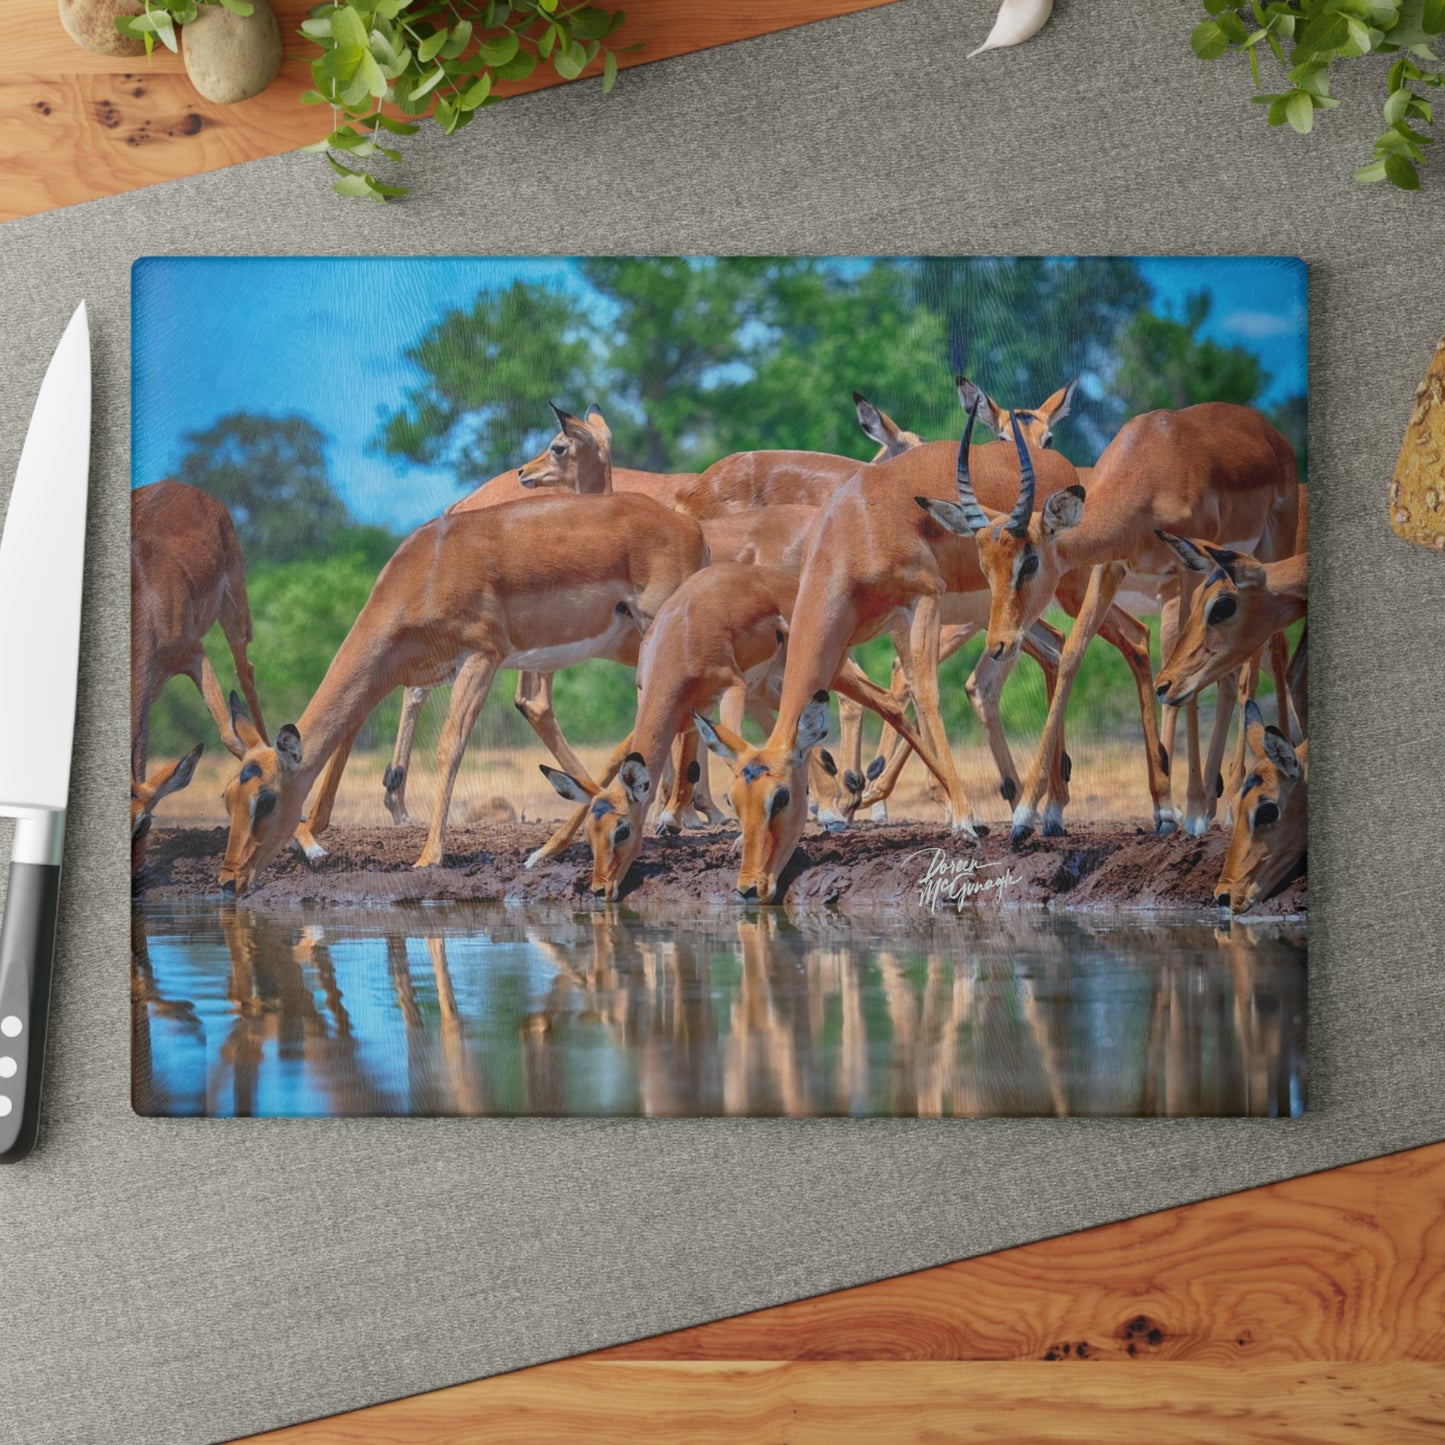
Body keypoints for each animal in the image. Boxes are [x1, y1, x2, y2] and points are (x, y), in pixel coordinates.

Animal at [216, 491, 708, 895]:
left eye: (265, 799)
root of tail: (693, 531)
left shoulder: (482, 657)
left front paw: (427, 856)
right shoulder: (409, 674)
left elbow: (450, 745)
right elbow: (345, 742)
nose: (227, 880)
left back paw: (662, 820)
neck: (426, 569)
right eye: (228, 797)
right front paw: (311, 840)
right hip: (629, 644)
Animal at [534, 563, 953, 900]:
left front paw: (732, 837)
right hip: (768, 689)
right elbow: (617, 759)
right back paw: (835, 810)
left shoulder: (730, 689)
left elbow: (733, 757)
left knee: (889, 702)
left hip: (820, 674)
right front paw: (544, 851)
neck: (679, 638)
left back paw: (949, 809)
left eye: (621, 831)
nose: (600, 889)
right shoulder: (679, 709)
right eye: (592, 833)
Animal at [920, 402, 1300, 844]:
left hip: (1269, 549)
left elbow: (1181, 676)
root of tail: (1269, 431)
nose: (999, 645)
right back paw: (1217, 799)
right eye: (985, 567)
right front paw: (1029, 815)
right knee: (1234, 668)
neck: (1152, 463)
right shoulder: (1109, 566)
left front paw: (1186, 813)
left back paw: (1229, 798)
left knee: (1272, 650)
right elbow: (1071, 655)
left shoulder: (1188, 571)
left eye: (1029, 561)